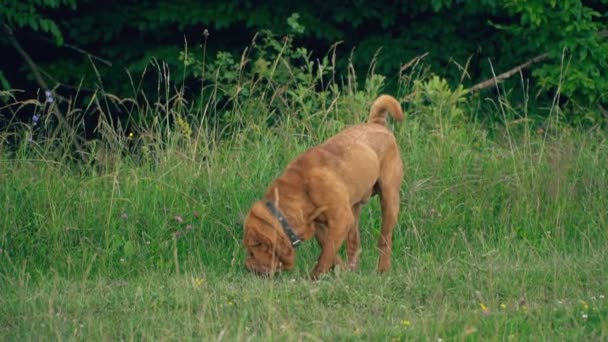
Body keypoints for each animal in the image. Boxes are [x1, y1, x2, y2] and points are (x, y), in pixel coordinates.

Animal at [242, 95, 404, 280]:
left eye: (253, 250)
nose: (247, 267)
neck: (300, 189)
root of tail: (377, 123)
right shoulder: (321, 225)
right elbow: (330, 251)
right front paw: (341, 272)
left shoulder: (341, 219)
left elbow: (326, 253)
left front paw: (314, 277)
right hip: (354, 210)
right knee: (354, 243)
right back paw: (353, 270)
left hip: (389, 200)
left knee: (385, 239)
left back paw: (383, 269)